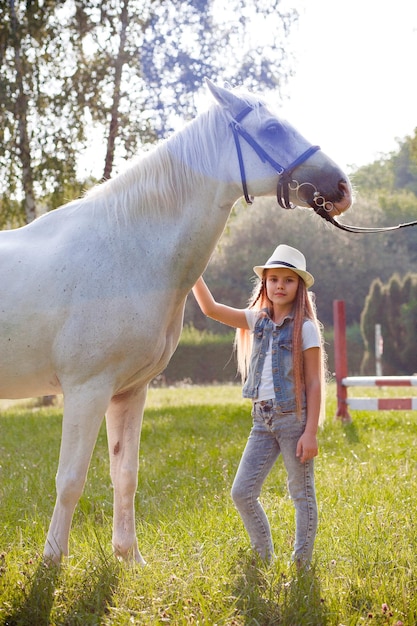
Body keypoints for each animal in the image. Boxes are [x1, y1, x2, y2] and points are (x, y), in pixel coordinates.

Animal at [0, 80, 352, 564]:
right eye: (272, 128)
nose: (341, 186)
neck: (125, 250)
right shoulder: (86, 390)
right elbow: (70, 479)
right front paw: (52, 561)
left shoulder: (129, 391)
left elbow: (125, 474)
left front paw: (129, 557)